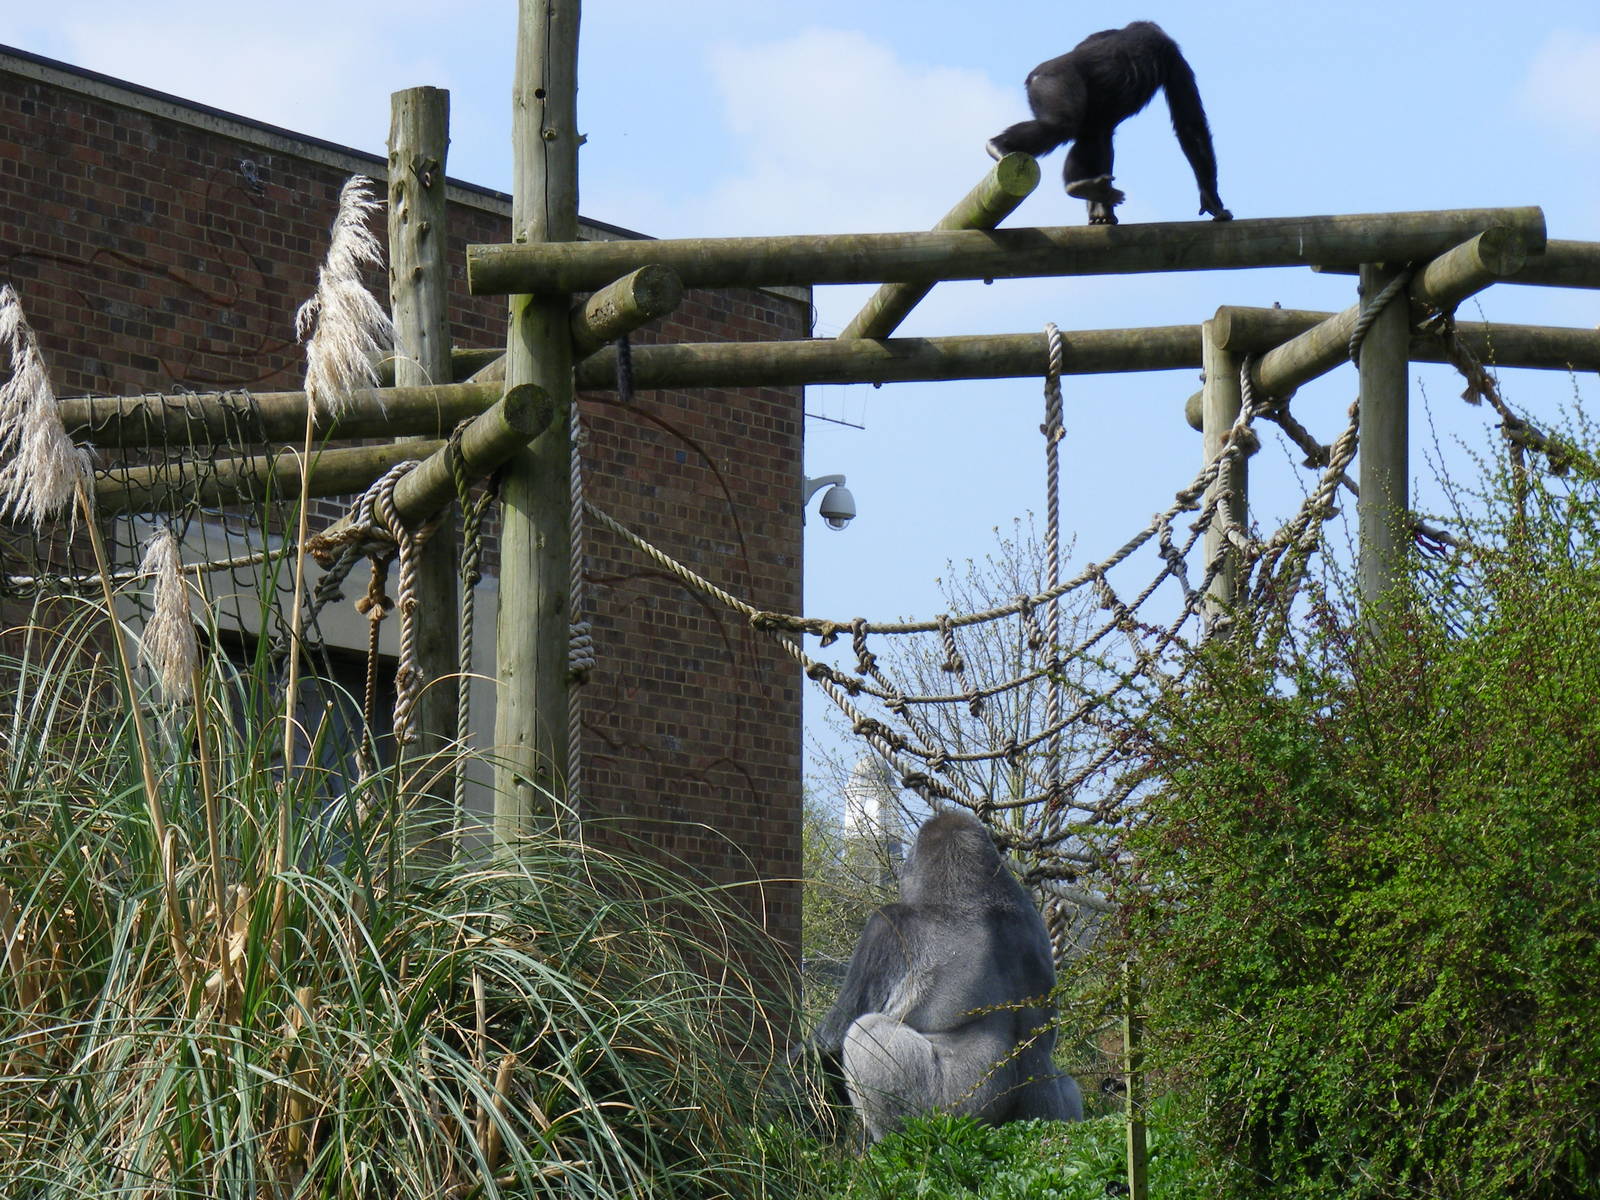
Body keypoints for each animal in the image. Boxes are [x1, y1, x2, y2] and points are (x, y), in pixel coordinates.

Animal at [795, 809, 1082, 1142]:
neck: (972, 895)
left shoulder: (888, 925)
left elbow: (827, 1044)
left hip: (950, 1115)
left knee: (865, 1032)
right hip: (1048, 1112)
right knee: (1066, 1087)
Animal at [986, 21, 1232, 226]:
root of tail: (1034, 77)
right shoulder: (1174, 59)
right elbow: (1190, 125)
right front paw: (1212, 199)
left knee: (1092, 134)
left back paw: (1090, 193)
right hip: (1053, 84)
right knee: (1061, 125)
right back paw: (1000, 146)